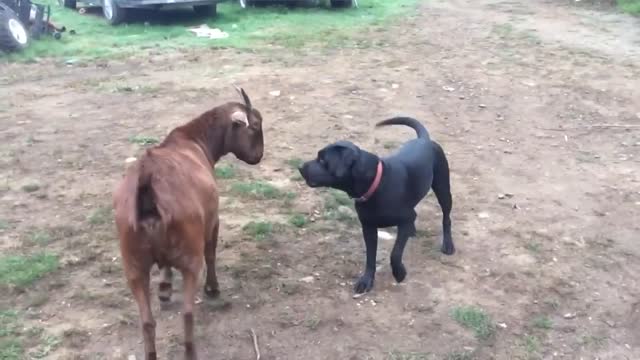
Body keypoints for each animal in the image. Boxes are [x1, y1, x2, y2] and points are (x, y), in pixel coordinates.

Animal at [113, 88, 264, 360]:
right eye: (255, 125)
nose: (258, 156)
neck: (189, 139)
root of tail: (148, 189)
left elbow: (164, 268)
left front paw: (164, 288)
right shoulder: (213, 220)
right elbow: (211, 253)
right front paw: (213, 288)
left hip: (133, 265)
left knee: (147, 322)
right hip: (190, 260)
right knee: (187, 313)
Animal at [300, 116, 456, 294]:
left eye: (322, 160)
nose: (300, 167)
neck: (377, 184)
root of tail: (424, 139)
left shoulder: (404, 219)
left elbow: (395, 253)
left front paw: (399, 273)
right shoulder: (368, 227)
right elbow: (370, 256)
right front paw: (366, 280)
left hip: (443, 189)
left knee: (446, 218)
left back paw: (448, 244)